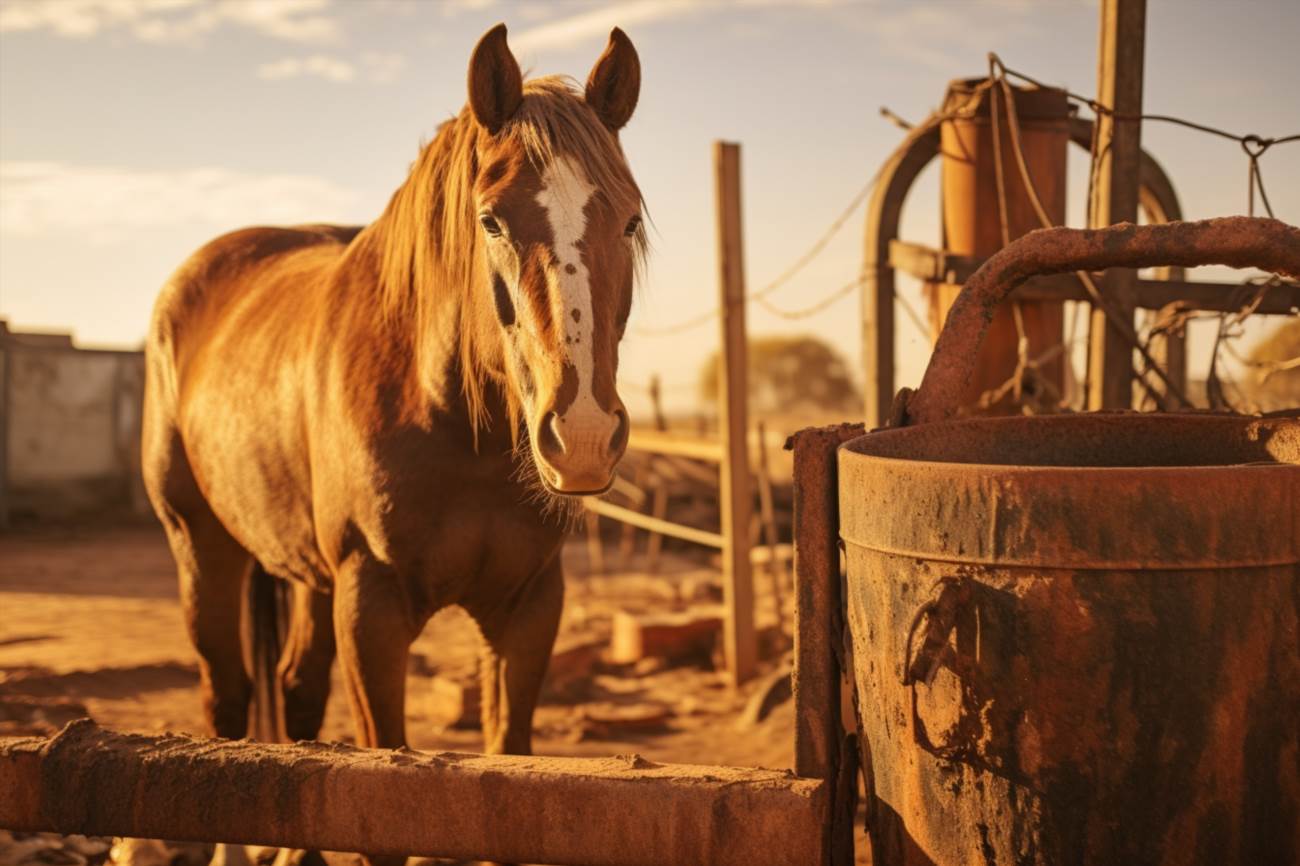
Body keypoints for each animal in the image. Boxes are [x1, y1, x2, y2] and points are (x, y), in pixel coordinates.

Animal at [142, 16, 644, 790]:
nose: (583, 436)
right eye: (491, 221)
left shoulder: (529, 607)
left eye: (627, 221)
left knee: (296, 689)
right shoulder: (370, 609)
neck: (452, 424)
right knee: (226, 696)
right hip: (200, 545)